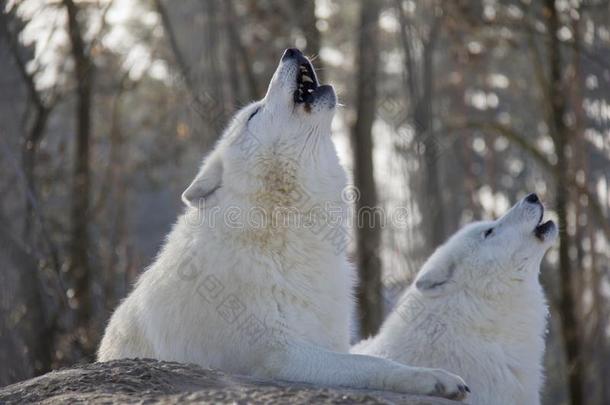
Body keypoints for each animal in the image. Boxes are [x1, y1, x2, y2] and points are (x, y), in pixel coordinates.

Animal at [96, 49, 466, 400]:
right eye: (253, 114)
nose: (291, 50)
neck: (281, 231)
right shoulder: (280, 355)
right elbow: (371, 362)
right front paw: (434, 378)